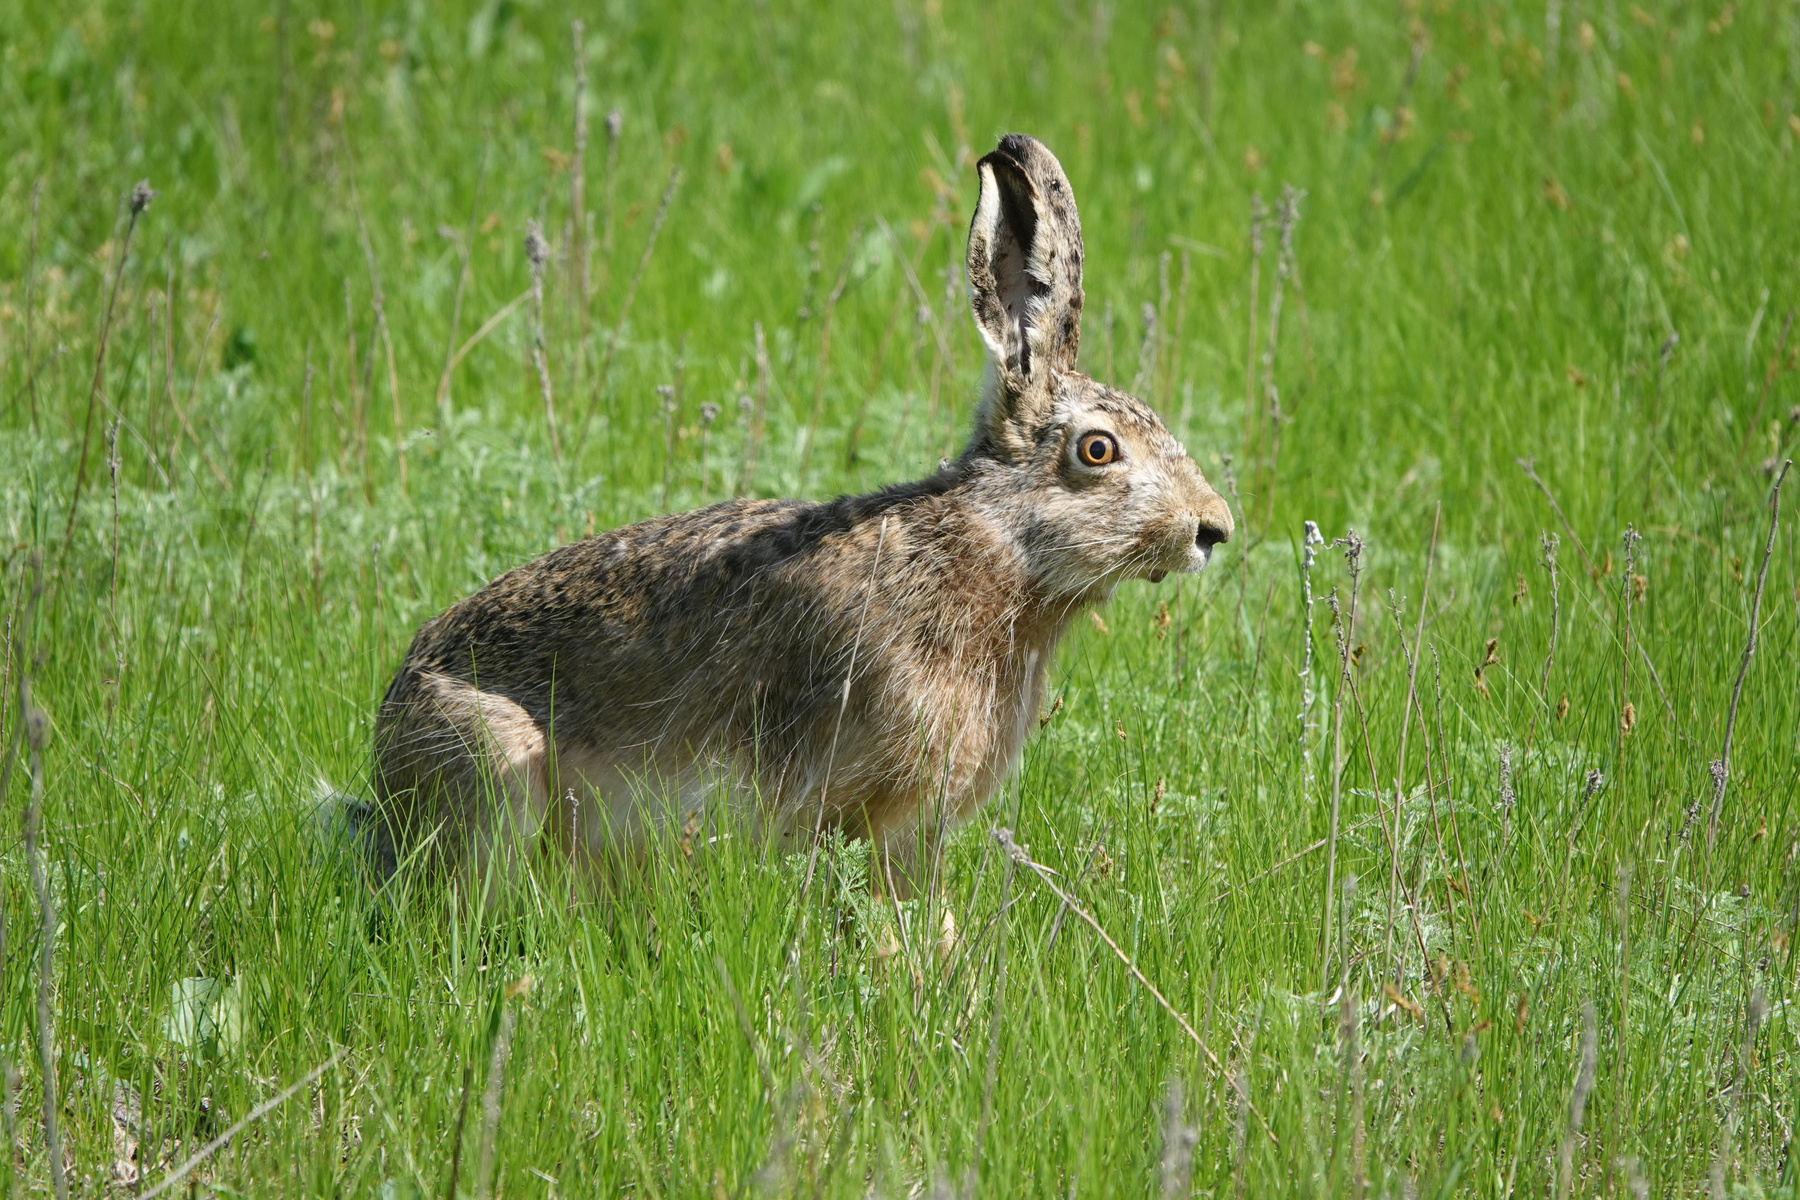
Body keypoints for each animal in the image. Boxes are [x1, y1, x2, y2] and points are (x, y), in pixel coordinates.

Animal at [368, 133, 1234, 898]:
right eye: (1097, 450)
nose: (1214, 528)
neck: (997, 542)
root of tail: (387, 742)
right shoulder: (870, 809)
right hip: (495, 764)